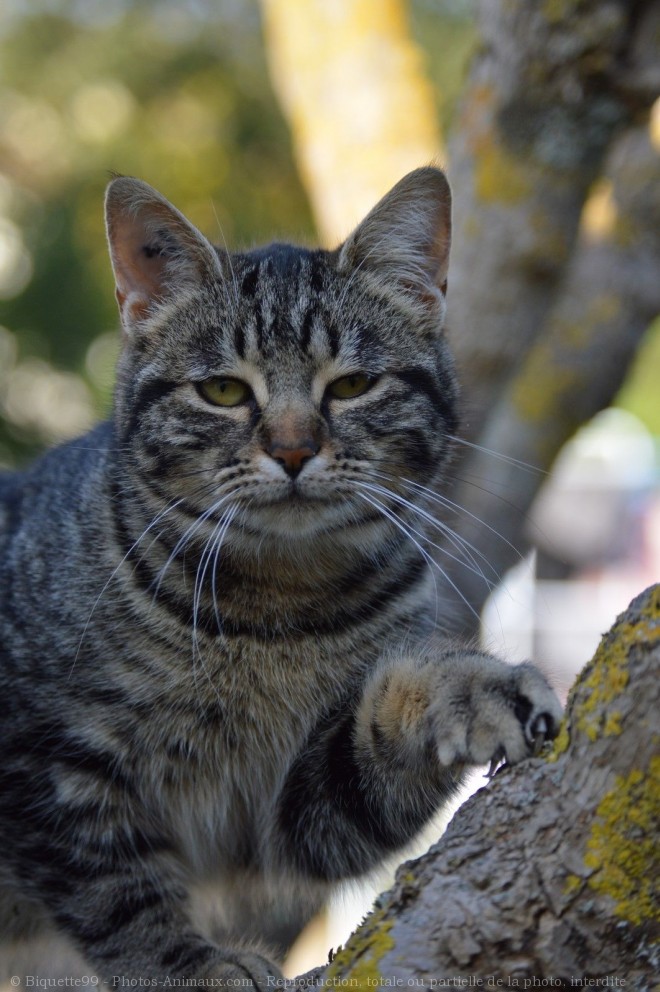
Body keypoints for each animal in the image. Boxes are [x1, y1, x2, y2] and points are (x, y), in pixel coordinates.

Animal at [0, 169, 564, 984]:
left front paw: (465, 688)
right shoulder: (47, 764)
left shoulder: (292, 815)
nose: (294, 450)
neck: (276, 613)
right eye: (224, 392)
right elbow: (116, 894)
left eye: (353, 384)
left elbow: (380, 737)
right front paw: (194, 967)